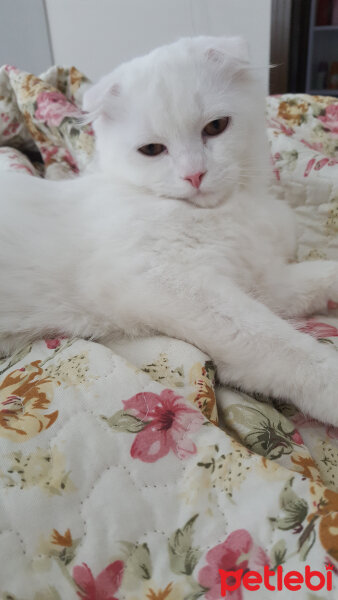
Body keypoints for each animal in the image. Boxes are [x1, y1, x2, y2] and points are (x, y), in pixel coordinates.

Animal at [0, 36, 338, 422]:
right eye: (151, 150)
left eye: (216, 127)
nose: (194, 175)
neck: (233, 210)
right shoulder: (172, 282)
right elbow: (279, 344)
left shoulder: (262, 280)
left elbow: (317, 276)